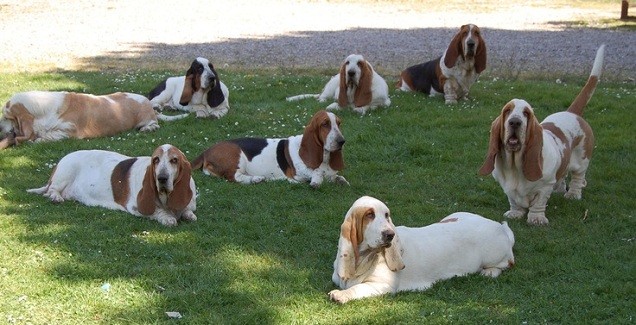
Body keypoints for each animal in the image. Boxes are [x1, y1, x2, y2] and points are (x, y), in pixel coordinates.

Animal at [27, 144, 196, 225]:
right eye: (156, 160)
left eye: (174, 160)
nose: (161, 178)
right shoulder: (135, 207)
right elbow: (158, 211)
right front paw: (168, 218)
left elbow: (188, 210)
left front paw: (188, 215)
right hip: (65, 172)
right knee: (51, 190)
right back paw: (56, 197)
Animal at [191, 109, 348, 187]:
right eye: (325, 124)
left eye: (339, 123)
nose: (342, 141)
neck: (324, 157)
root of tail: (206, 151)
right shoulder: (297, 172)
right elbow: (316, 172)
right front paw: (316, 180)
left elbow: (334, 175)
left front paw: (340, 179)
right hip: (237, 156)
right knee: (233, 177)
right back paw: (256, 179)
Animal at [328, 195, 516, 304]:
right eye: (369, 215)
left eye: (387, 215)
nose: (390, 235)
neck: (364, 257)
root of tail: (500, 228)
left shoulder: (382, 286)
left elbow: (357, 288)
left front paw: (340, 295)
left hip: (494, 256)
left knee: (507, 263)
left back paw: (489, 272)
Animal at [476, 44, 608, 224]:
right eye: (507, 111)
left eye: (526, 113)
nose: (514, 122)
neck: (515, 164)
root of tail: (572, 113)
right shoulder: (507, 188)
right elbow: (513, 201)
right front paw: (515, 213)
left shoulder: (545, 186)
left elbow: (539, 202)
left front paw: (536, 219)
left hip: (582, 160)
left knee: (578, 178)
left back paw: (572, 195)